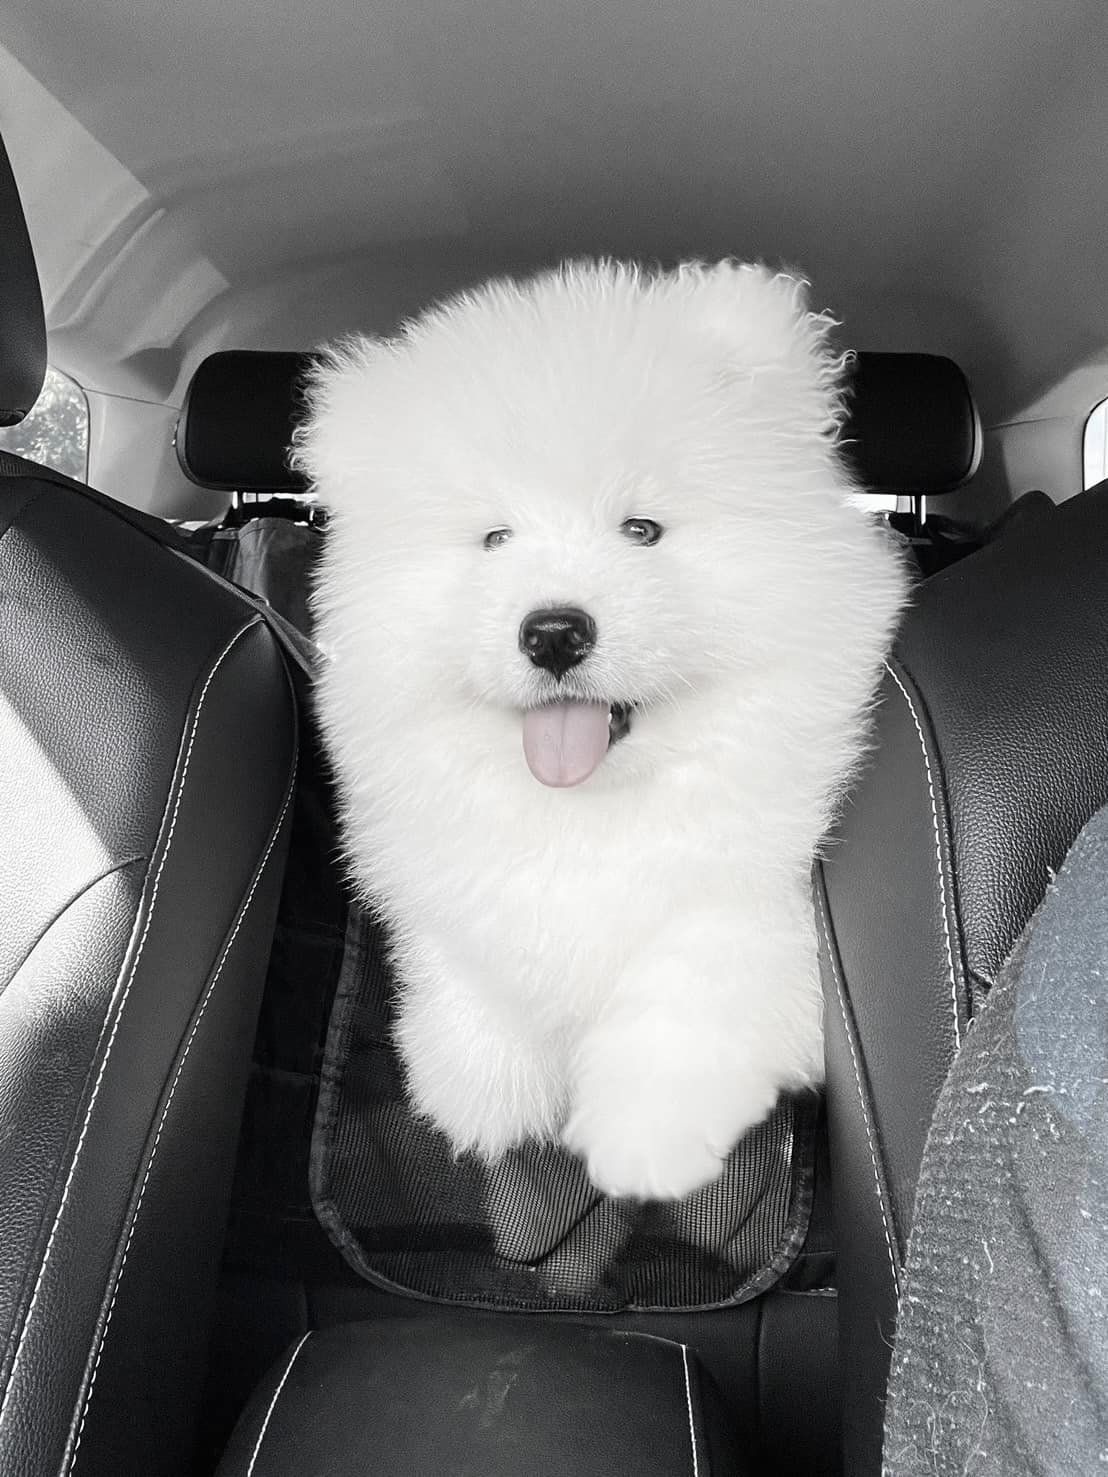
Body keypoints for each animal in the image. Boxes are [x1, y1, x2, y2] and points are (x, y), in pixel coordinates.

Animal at [295, 259, 910, 1199]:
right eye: (494, 537)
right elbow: (472, 969)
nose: (553, 632)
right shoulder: (453, 886)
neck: (588, 810)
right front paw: (481, 1094)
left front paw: (643, 1140)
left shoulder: (762, 906)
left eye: (642, 529)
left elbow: (688, 988)